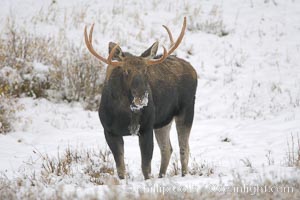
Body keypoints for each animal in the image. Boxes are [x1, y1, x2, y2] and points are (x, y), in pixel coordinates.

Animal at [84, 17, 197, 180]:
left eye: (145, 70)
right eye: (126, 71)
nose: (141, 98)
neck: (125, 114)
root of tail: (193, 69)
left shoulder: (146, 128)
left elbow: (146, 168)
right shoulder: (109, 131)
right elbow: (120, 169)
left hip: (187, 109)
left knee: (184, 148)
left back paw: (183, 176)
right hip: (163, 121)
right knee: (167, 149)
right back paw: (161, 176)